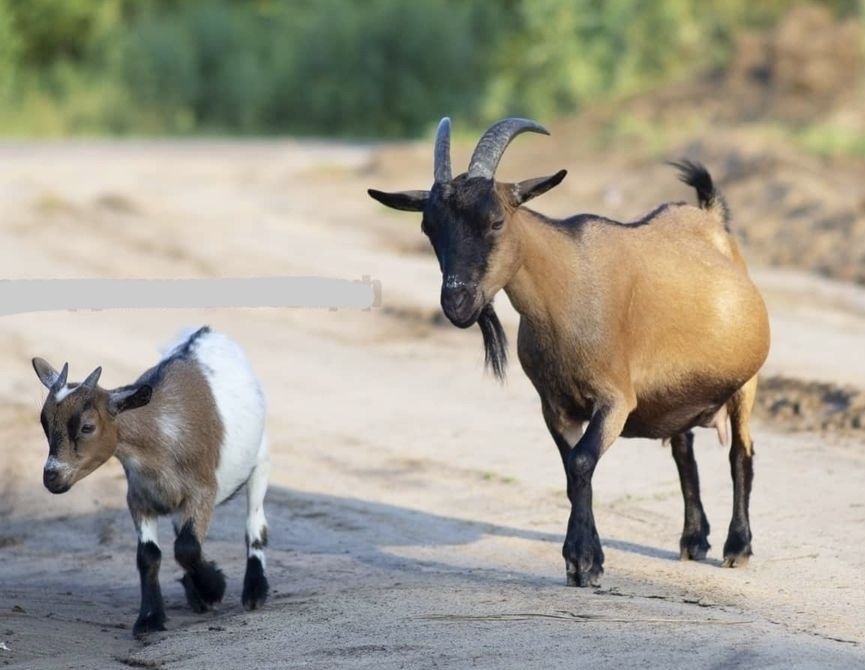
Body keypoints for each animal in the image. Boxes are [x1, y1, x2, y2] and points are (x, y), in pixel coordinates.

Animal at [368, 119, 768, 588]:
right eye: (429, 228)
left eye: (496, 221)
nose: (457, 302)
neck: (566, 290)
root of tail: (712, 217)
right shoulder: (554, 405)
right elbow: (573, 469)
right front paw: (585, 559)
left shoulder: (615, 400)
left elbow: (580, 463)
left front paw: (583, 561)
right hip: (675, 396)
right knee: (683, 451)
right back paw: (693, 539)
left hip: (746, 384)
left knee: (740, 454)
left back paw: (736, 547)